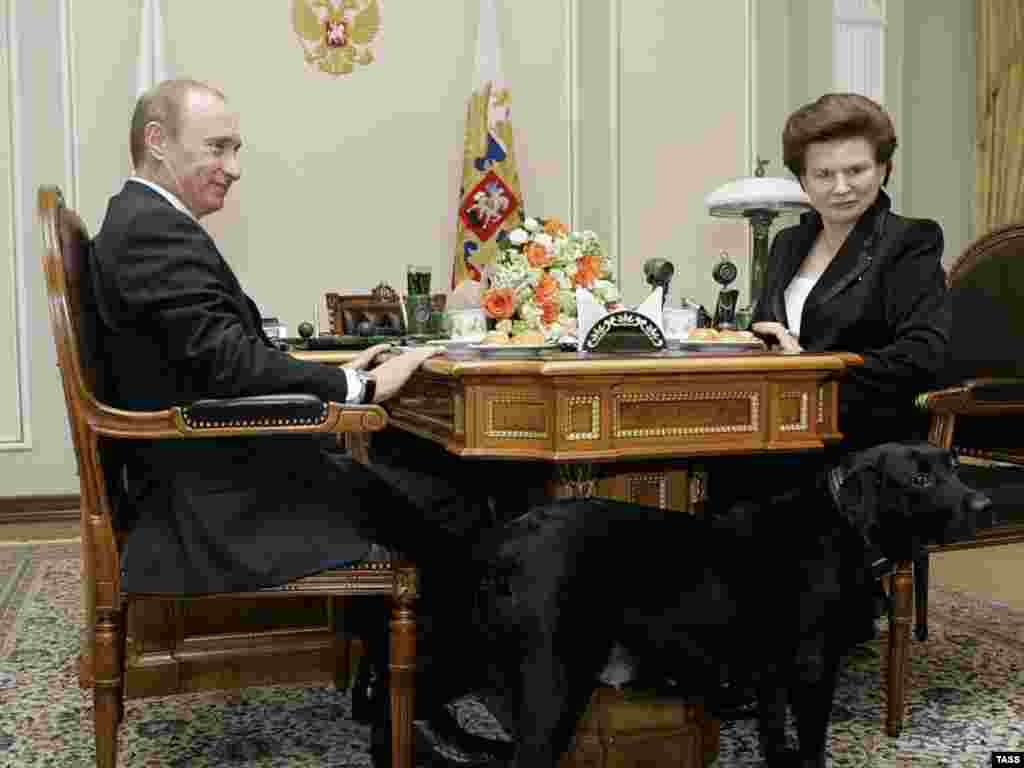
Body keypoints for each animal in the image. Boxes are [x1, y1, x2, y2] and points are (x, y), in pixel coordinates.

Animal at [477, 444, 991, 768]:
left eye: (953, 464)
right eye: (921, 477)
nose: (984, 505)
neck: (845, 524)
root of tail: (512, 536)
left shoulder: (774, 670)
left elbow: (773, 731)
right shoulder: (814, 668)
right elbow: (812, 744)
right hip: (555, 683)